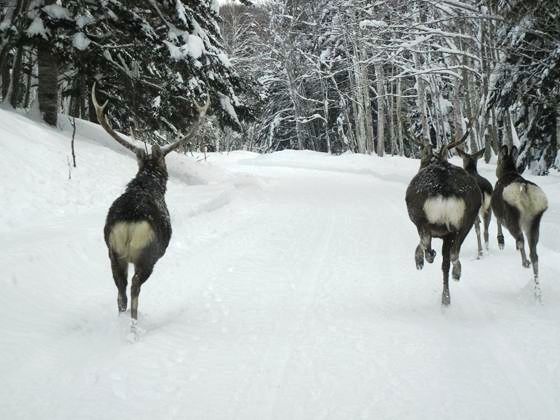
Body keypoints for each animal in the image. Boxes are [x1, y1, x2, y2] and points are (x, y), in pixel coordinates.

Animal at [92, 83, 210, 324]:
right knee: (135, 287)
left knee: (120, 291)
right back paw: (134, 324)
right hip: (147, 256)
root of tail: (130, 222)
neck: (147, 184)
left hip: (113, 252)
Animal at [404, 132, 484, 306]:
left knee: (426, 241)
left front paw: (420, 259)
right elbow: (444, 263)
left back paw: (427, 259)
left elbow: (423, 244)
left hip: (420, 216)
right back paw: (449, 290)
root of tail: (445, 187)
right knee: (452, 255)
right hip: (466, 220)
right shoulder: (447, 234)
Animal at [492, 146, 548, 296]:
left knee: (520, 240)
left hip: (512, 217)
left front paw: (501, 241)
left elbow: (498, 223)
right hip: (534, 222)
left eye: (498, 159)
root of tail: (525, 189)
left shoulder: (498, 212)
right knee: (534, 254)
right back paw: (537, 292)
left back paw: (525, 263)